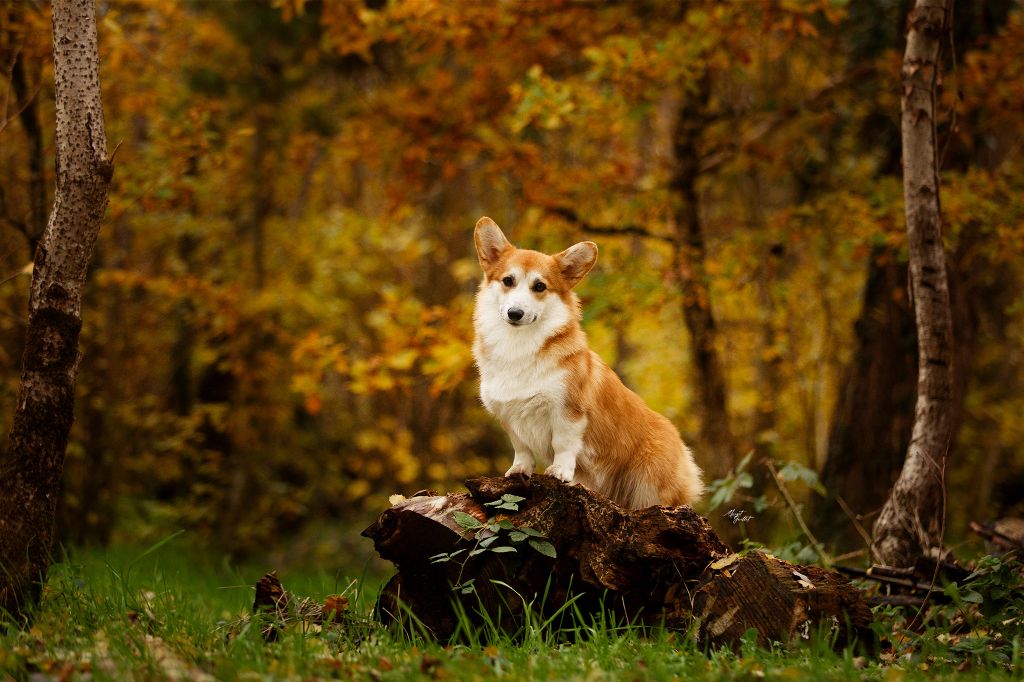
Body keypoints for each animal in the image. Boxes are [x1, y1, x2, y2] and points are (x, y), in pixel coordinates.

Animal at [473, 215, 704, 507]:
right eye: (507, 280)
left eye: (540, 286)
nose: (515, 313)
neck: (518, 345)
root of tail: (684, 452)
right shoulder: (509, 416)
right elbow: (522, 448)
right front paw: (518, 471)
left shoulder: (568, 411)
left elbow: (563, 444)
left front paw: (559, 472)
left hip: (651, 481)